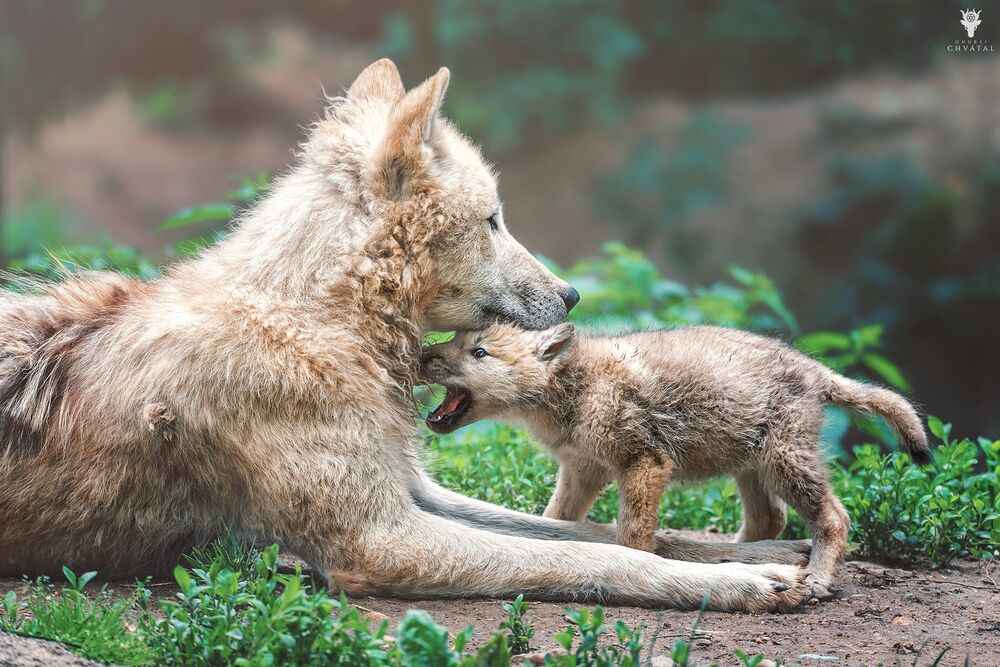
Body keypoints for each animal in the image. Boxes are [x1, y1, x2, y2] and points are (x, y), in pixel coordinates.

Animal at [0, 61, 804, 612]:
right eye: (494, 220)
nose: (573, 294)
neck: (318, 324)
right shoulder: (381, 539)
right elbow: (604, 559)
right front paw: (745, 582)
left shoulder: (413, 490)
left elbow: (606, 535)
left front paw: (774, 551)